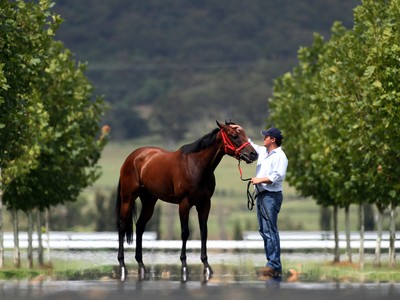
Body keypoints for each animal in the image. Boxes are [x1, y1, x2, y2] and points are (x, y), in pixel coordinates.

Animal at [115, 120, 256, 282]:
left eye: (244, 134)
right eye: (234, 136)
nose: (254, 154)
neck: (197, 166)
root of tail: (132, 157)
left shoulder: (205, 204)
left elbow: (203, 232)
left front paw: (206, 265)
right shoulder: (184, 204)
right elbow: (185, 232)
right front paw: (184, 264)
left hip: (149, 201)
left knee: (140, 226)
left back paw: (141, 264)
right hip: (128, 198)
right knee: (122, 226)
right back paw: (122, 264)